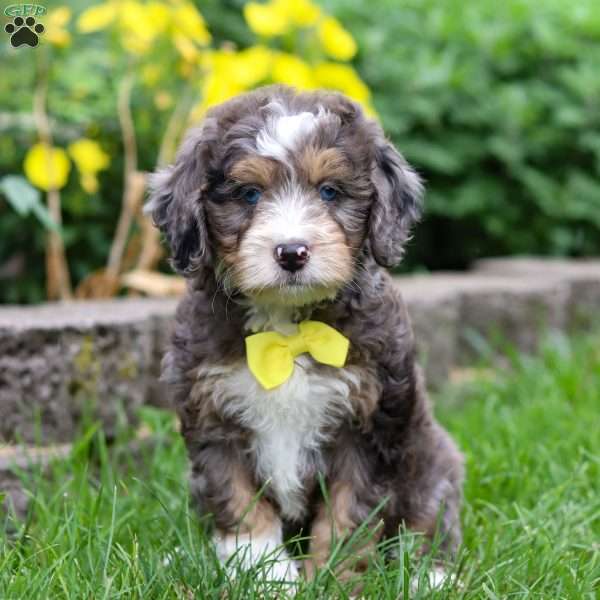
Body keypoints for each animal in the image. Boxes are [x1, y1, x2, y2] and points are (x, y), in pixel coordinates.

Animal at [146, 83, 464, 580]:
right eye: (249, 194)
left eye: (329, 191)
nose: (292, 251)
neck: (288, 329)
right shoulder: (214, 418)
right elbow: (240, 505)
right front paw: (267, 577)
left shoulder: (368, 424)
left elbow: (348, 515)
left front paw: (333, 576)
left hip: (432, 462)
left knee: (429, 523)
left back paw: (430, 577)